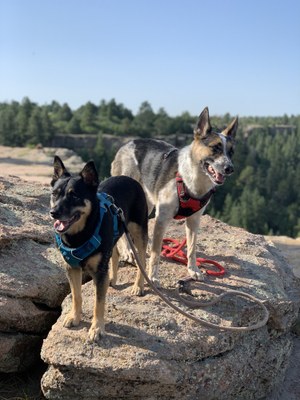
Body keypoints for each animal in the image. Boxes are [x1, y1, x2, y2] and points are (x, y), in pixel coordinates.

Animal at [50, 156, 148, 340]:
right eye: (54, 194)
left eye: (74, 196)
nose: (53, 212)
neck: (80, 234)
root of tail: (128, 178)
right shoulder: (72, 268)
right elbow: (76, 295)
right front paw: (74, 317)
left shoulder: (100, 271)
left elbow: (99, 302)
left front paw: (96, 328)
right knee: (115, 254)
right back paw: (113, 279)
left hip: (139, 231)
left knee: (143, 261)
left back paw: (138, 286)